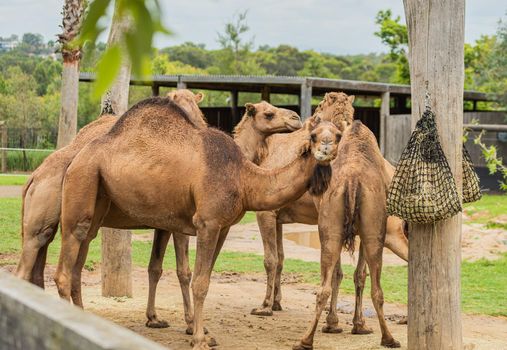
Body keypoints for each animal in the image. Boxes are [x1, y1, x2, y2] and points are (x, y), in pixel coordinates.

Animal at [53, 96, 340, 350]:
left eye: (338, 135)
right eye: (314, 136)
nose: (295, 118)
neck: (244, 177)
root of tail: (77, 155)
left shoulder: (222, 227)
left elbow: (204, 277)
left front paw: (200, 332)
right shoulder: (205, 222)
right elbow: (197, 281)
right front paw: (199, 337)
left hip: (97, 200)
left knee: (80, 259)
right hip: (82, 181)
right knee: (65, 268)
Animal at [294, 120, 400, 350]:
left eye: (335, 135)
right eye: (313, 135)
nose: (324, 147)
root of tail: (352, 181)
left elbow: (346, 274)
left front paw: (340, 324)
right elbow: (358, 274)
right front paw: (357, 325)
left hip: (335, 227)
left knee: (327, 287)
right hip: (369, 227)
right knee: (372, 287)